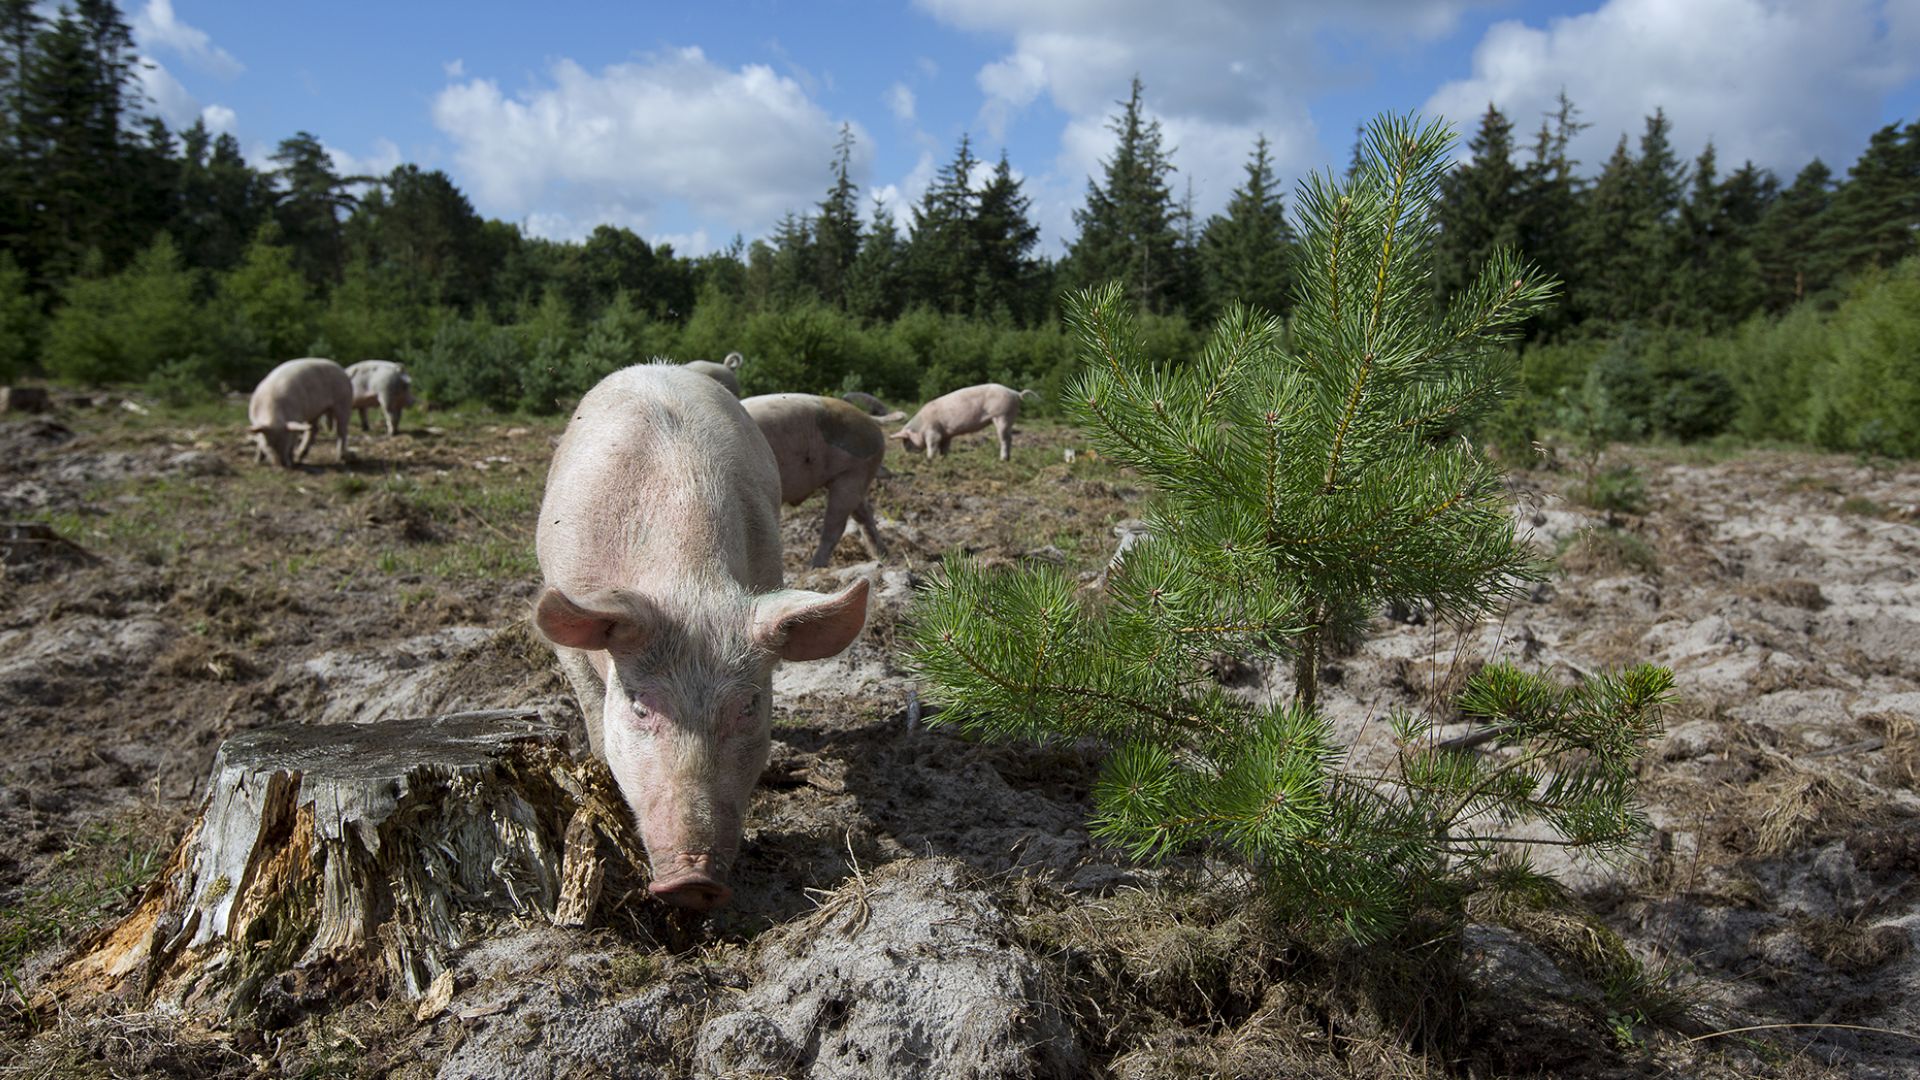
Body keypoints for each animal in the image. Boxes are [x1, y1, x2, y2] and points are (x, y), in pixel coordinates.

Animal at [741, 393, 890, 564]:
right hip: (855, 479)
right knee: (864, 514)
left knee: (836, 526)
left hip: (854, 474)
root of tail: (871, 422)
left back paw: (814, 566)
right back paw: (882, 556)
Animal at [894, 382, 1044, 457]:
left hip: (1002, 415)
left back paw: (1003, 459)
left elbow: (932, 446)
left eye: (906, 441)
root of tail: (1015, 393)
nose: (906, 454)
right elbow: (944, 448)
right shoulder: (946, 435)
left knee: (1006, 439)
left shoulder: (933, 432)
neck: (920, 427)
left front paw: (930, 459)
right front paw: (943, 459)